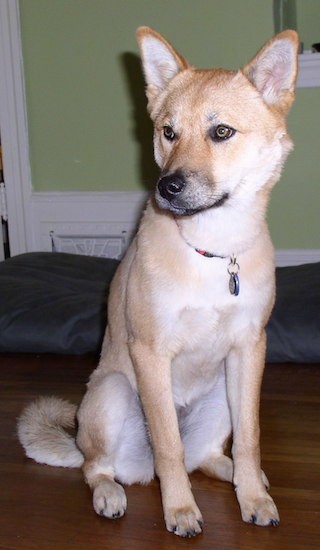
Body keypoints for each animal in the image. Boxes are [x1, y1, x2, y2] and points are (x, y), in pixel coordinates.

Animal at [16, 27, 298, 540]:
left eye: (221, 132)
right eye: (169, 132)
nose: (168, 186)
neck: (211, 250)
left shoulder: (250, 349)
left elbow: (250, 440)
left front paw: (253, 499)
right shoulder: (150, 352)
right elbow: (168, 446)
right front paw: (181, 511)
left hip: (223, 393)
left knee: (204, 456)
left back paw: (238, 475)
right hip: (111, 392)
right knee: (100, 467)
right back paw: (110, 493)